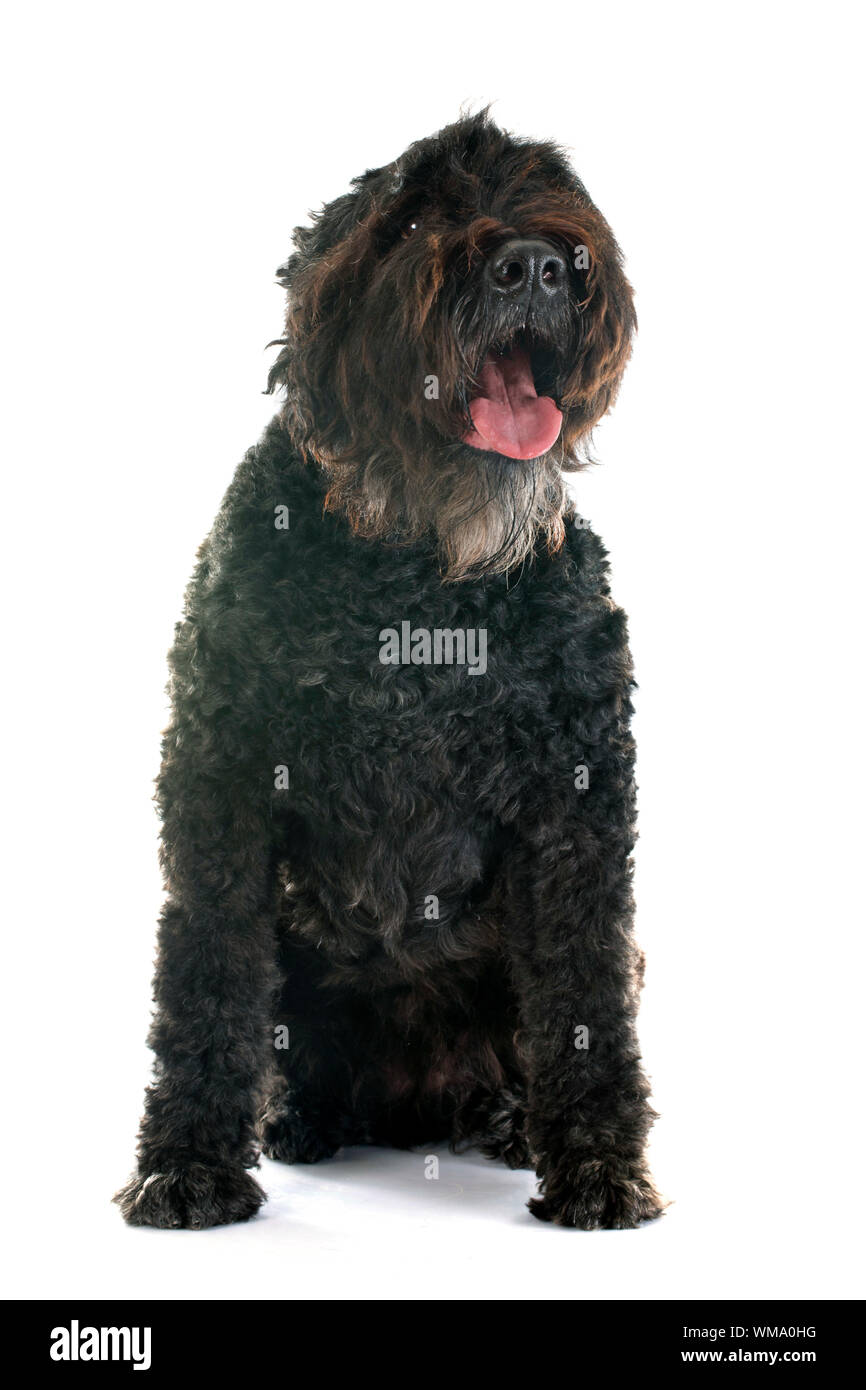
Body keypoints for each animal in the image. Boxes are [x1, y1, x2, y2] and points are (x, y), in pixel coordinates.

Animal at [116, 113, 664, 1234]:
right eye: (411, 214)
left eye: (556, 187)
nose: (536, 263)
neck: (423, 580)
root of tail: (421, 1101)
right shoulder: (220, 782)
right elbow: (205, 972)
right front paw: (187, 1162)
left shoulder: (578, 804)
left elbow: (585, 991)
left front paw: (594, 1164)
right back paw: (298, 1119)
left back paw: (514, 1123)